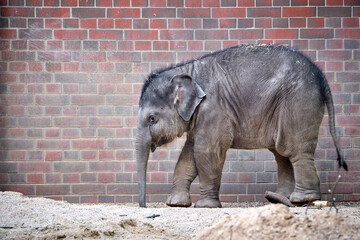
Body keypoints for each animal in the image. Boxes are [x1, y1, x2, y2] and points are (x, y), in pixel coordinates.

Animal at [134, 44, 346, 208]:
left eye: (152, 119)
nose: (143, 206)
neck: (187, 72)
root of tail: (321, 75)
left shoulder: (214, 109)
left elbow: (206, 151)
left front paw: (205, 206)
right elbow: (188, 155)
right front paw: (176, 204)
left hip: (298, 102)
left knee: (295, 149)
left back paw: (302, 199)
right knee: (281, 152)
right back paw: (280, 199)